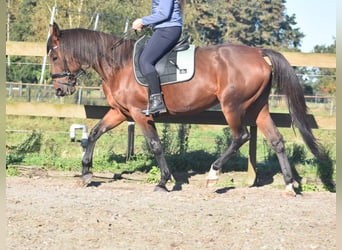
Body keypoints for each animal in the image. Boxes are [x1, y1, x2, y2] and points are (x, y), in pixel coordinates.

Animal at [47, 22, 324, 194]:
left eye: (54, 56)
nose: (59, 90)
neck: (119, 64)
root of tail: (258, 54)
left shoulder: (139, 114)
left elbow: (155, 145)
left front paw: (163, 181)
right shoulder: (119, 112)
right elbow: (94, 133)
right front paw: (86, 173)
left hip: (232, 106)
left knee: (240, 136)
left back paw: (213, 175)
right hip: (258, 108)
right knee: (277, 140)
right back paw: (289, 184)